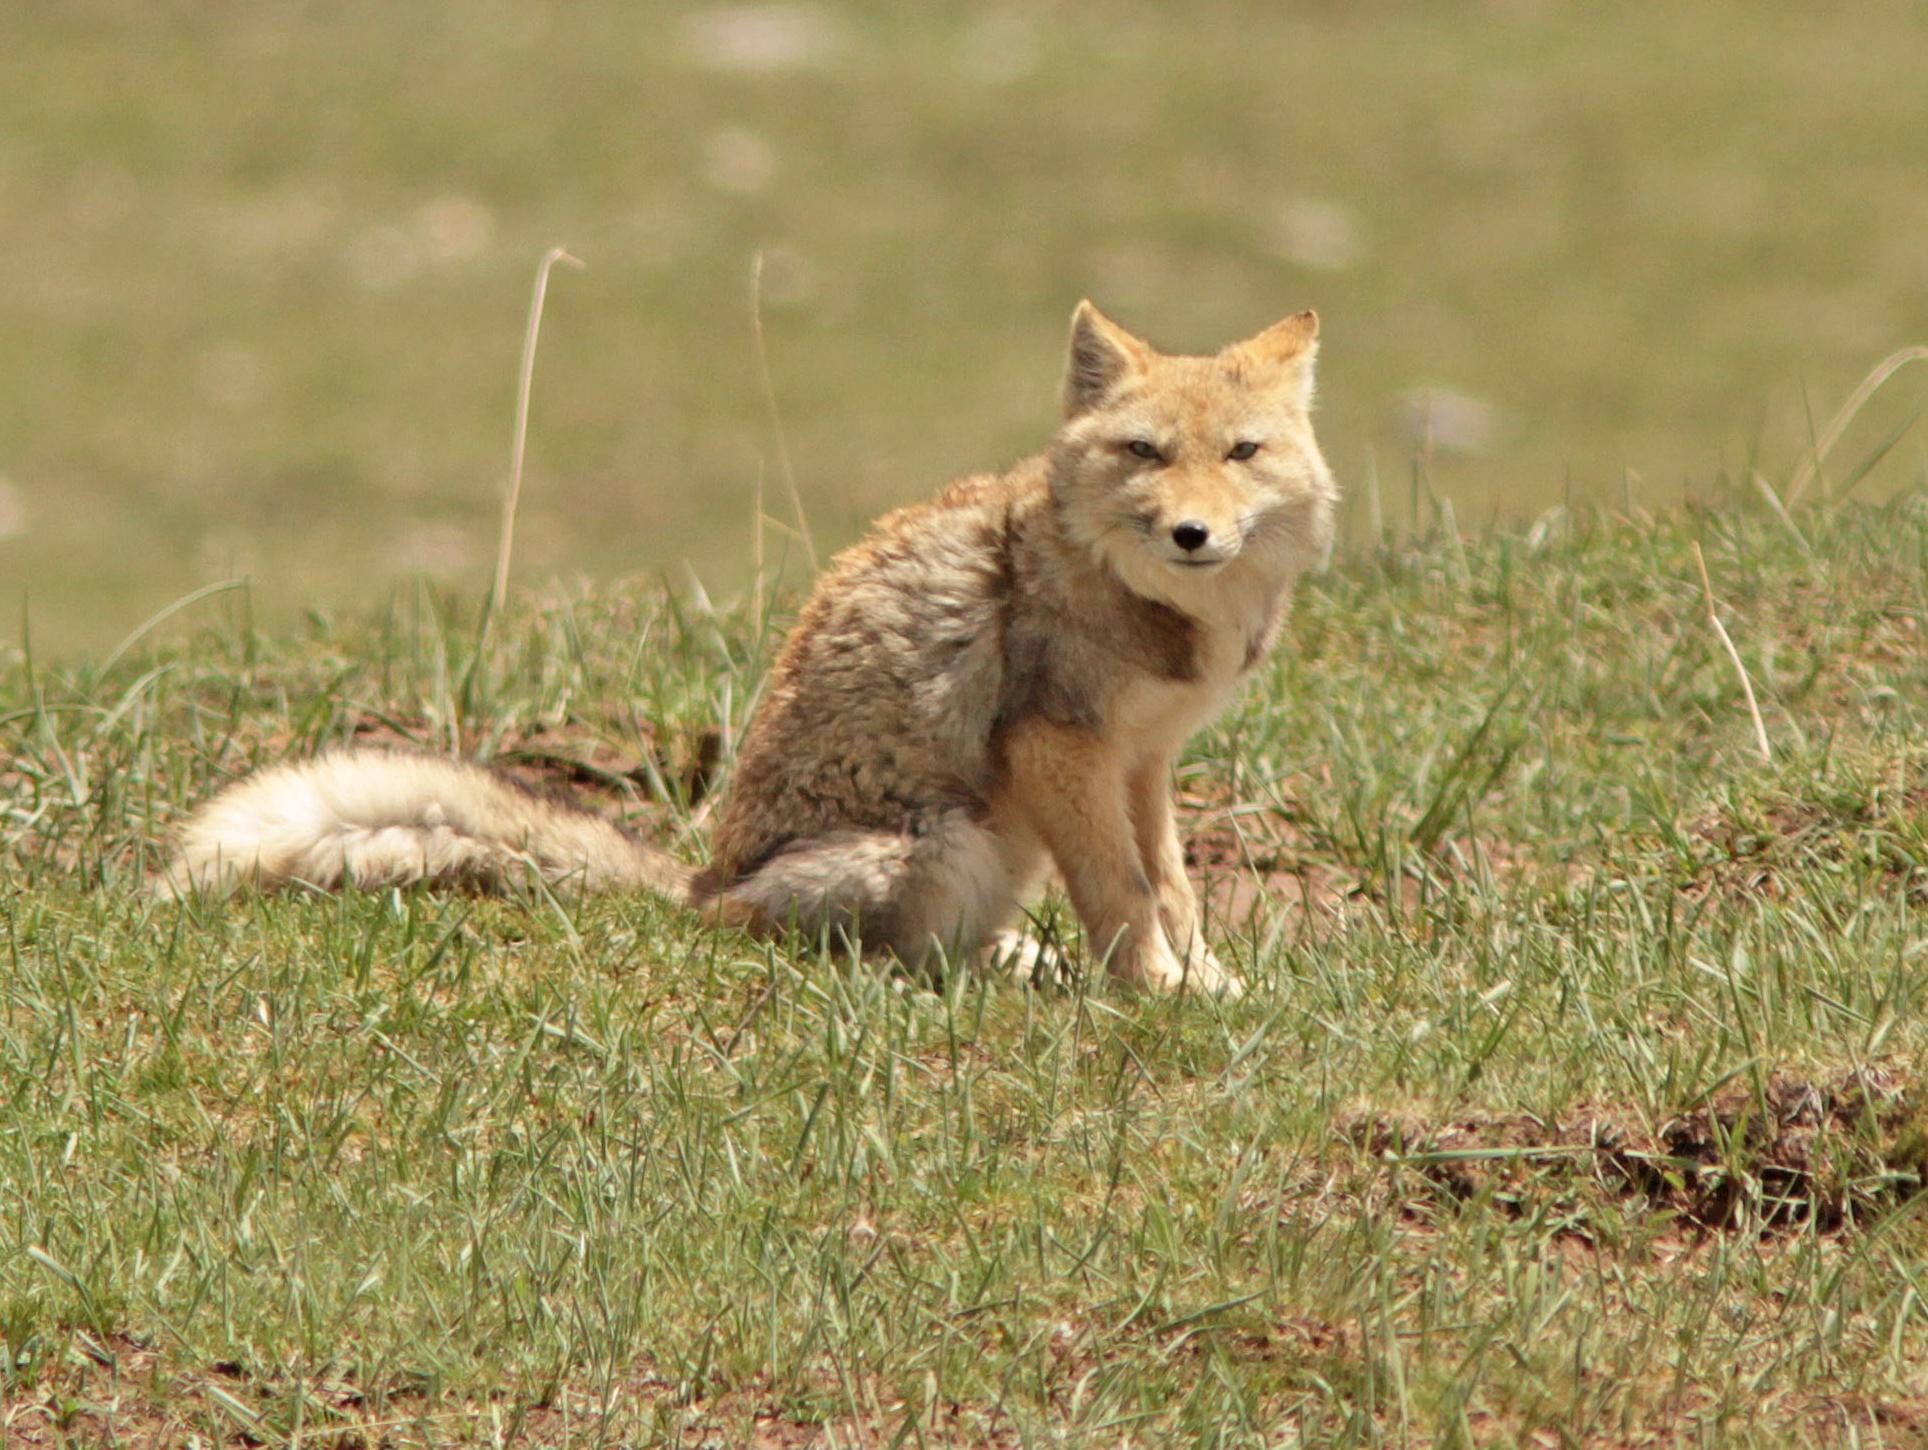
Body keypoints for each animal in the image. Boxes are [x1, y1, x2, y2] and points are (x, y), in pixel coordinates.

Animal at [161, 302, 1337, 996]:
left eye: (1242, 453)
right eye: (1144, 453)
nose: (1191, 534)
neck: (1168, 615)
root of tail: (703, 882)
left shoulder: (1142, 760)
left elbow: (1169, 885)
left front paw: (1205, 982)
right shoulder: (1061, 747)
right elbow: (1122, 892)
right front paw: (1155, 991)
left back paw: (1025, 958)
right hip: (943, 842)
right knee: (863, 953)